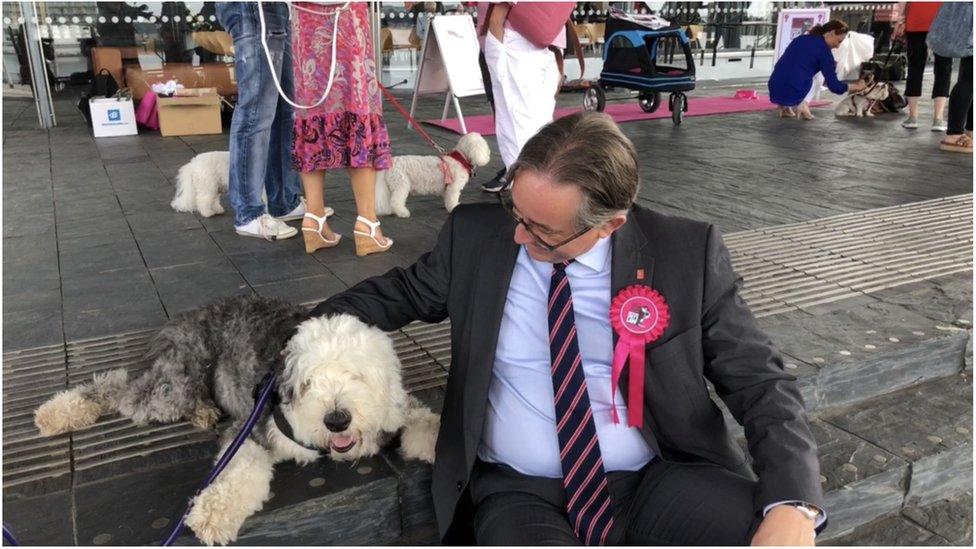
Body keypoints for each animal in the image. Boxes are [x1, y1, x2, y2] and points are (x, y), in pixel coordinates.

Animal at [33, 296, 438, 544]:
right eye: (308, 382)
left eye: (356, 375)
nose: (336, 420)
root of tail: (188, 316)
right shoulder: (250, 428)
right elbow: (241, 471)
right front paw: (213, 515)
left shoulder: (395, 411)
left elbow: (419, 416)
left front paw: (435, 440)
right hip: (175, 382)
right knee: (118, 386)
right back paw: (57, 413)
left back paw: (203, 411)